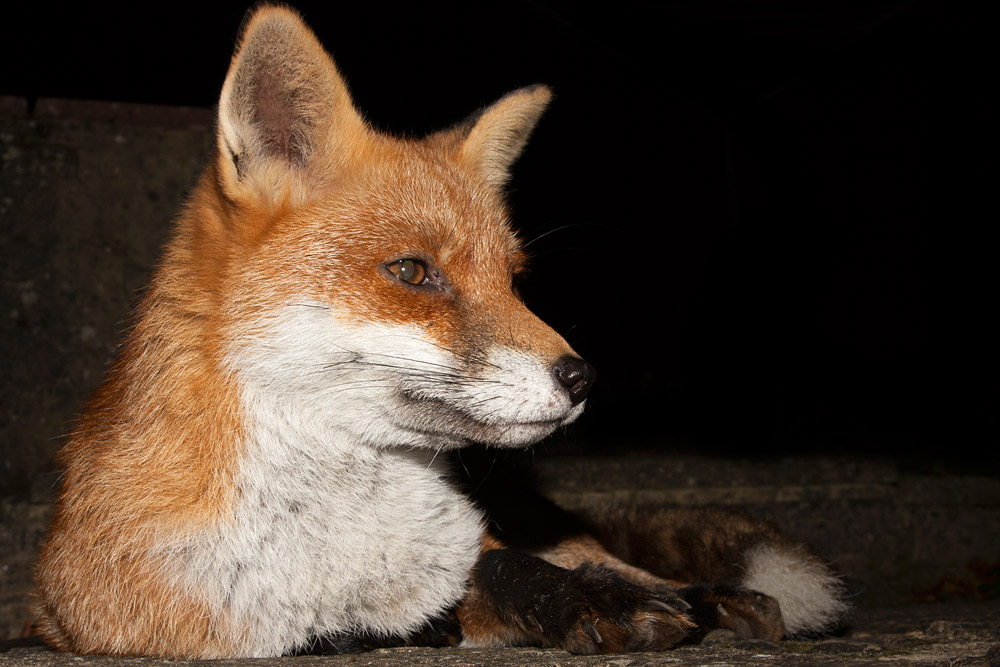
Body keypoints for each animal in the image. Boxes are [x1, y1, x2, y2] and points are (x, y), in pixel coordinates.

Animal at [33, 5, 849, 659]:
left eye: (513, 280)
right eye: (413, 271)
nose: (582, 377)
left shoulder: (476, 550)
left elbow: (506, 567)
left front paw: (588, 599)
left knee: (624, 561)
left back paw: (710, 595)